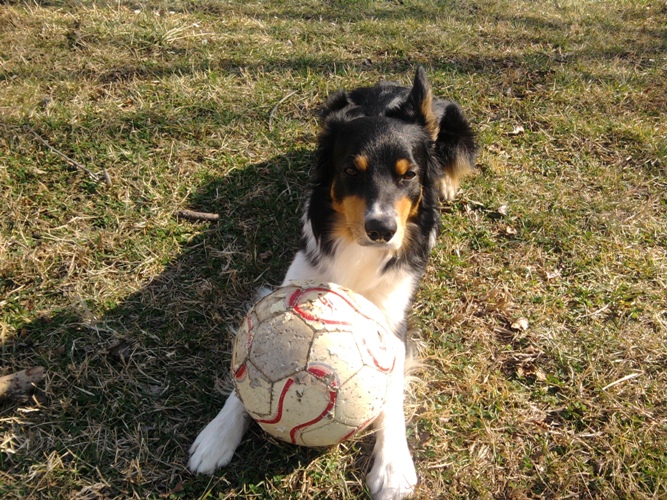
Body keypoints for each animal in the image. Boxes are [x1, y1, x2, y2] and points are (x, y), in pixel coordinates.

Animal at [188, 67, 477, 500]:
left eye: (408, 175)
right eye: (350, 171)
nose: (382, 230)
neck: (356, 248)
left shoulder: (394, 323)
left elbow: (391, 391)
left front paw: (393, 465)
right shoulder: (291, 284)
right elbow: (244, 374)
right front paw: (218, 435)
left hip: (457, 125)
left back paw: (445, 183)